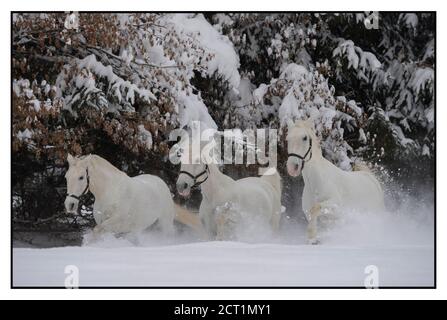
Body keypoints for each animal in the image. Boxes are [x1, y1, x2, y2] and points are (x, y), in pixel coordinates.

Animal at [65, 154, 201, 239]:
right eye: (66, 177)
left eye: (81, 177)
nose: (69, 205)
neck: (110, 192)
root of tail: (161, 183)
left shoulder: (114, 222)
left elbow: (96, 231)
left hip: (165, 224)